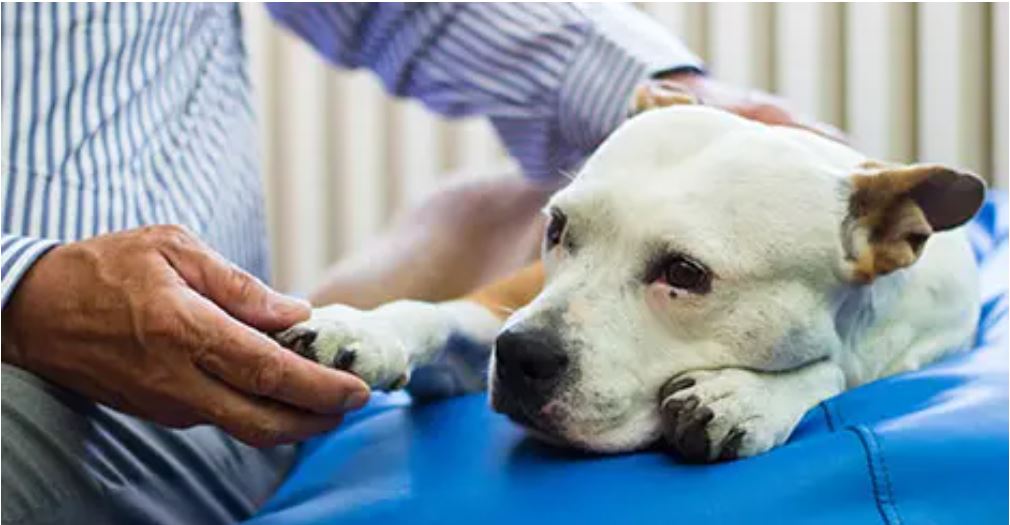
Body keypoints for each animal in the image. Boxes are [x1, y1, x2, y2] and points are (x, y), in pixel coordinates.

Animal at [274, 104, 977, 462]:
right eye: (558, 227)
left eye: (685, 274)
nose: (522, 355)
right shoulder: (498, 310)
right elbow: (434, 313)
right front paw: (361, 331)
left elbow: (836, 370)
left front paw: (745, 397)